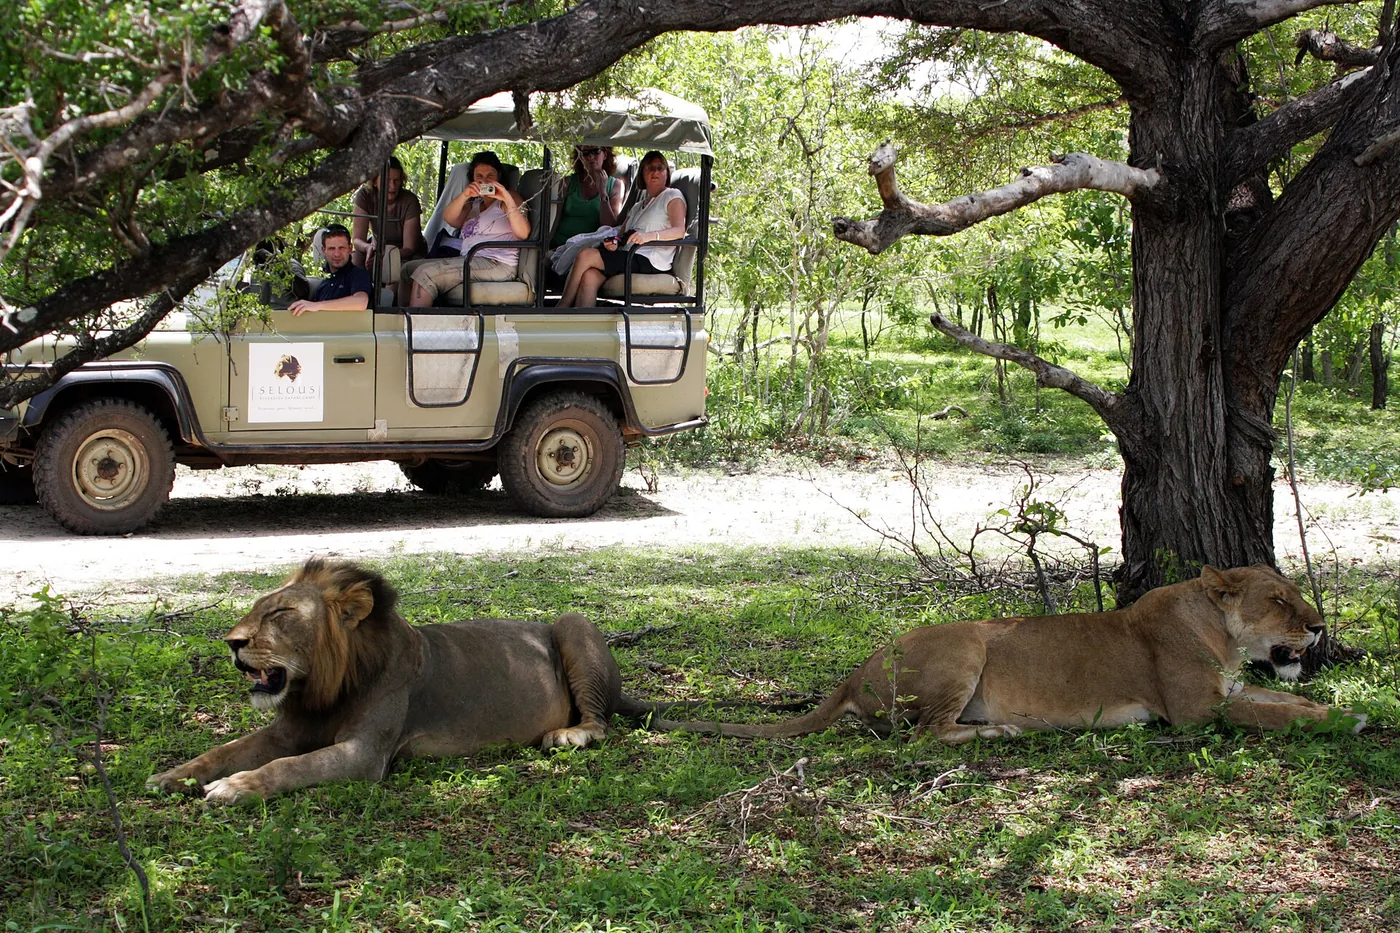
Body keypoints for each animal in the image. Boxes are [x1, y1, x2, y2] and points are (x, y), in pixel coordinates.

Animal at [148, 558, 681, 803]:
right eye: (258, 608)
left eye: (281, 614)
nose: (231, 642)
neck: (324, 687)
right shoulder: (285, 731)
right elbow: (222, 751)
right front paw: (171, 776)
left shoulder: (365, 755)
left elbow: (290, 767)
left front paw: (233, 787)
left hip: (573, 623)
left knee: (600, 722)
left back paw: (570, 735)